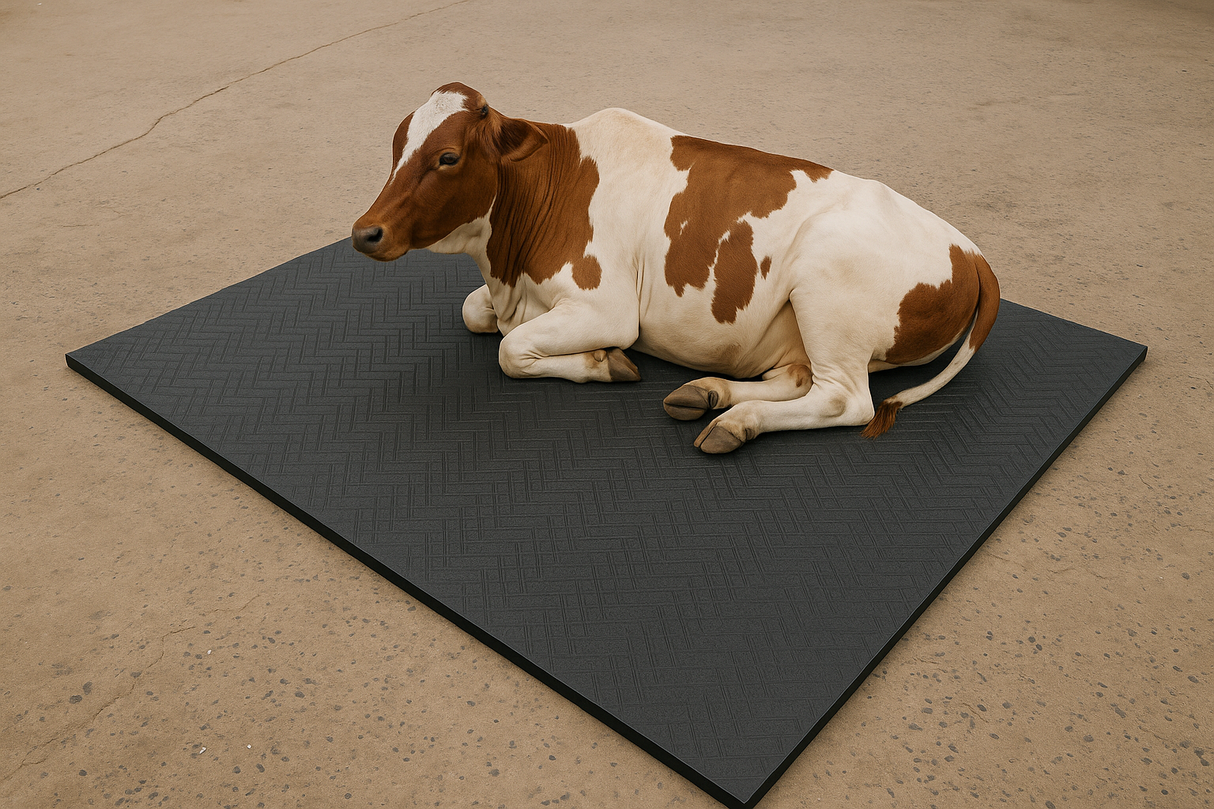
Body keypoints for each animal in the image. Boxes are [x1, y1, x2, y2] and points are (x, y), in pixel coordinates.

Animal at [352, 82, 999, 453]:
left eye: (447, 157)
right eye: (395, 144)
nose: (364, 232)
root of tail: (968, 250)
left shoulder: (607, 309)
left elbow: (511, 351)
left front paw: (604, 364)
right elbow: (473, 313)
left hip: (827, 292)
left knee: (845, 400)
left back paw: (738, 422)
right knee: (797, 379)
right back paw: (709, 394)